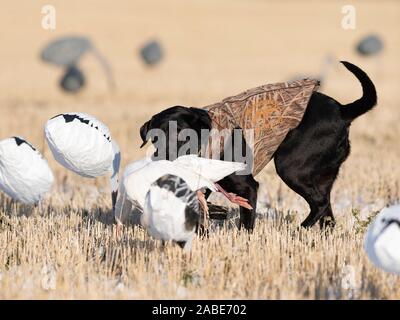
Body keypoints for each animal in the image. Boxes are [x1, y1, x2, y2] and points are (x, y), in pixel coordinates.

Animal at [139, 62, 376, 230]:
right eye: (155, 138)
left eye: (182, 134)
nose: (164, 157)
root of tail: (343, 111)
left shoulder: (248, 187)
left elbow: (246, 222)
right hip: (322, 174)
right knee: (327, 211)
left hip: (291, 166)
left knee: (320, 203)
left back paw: (298, 231)